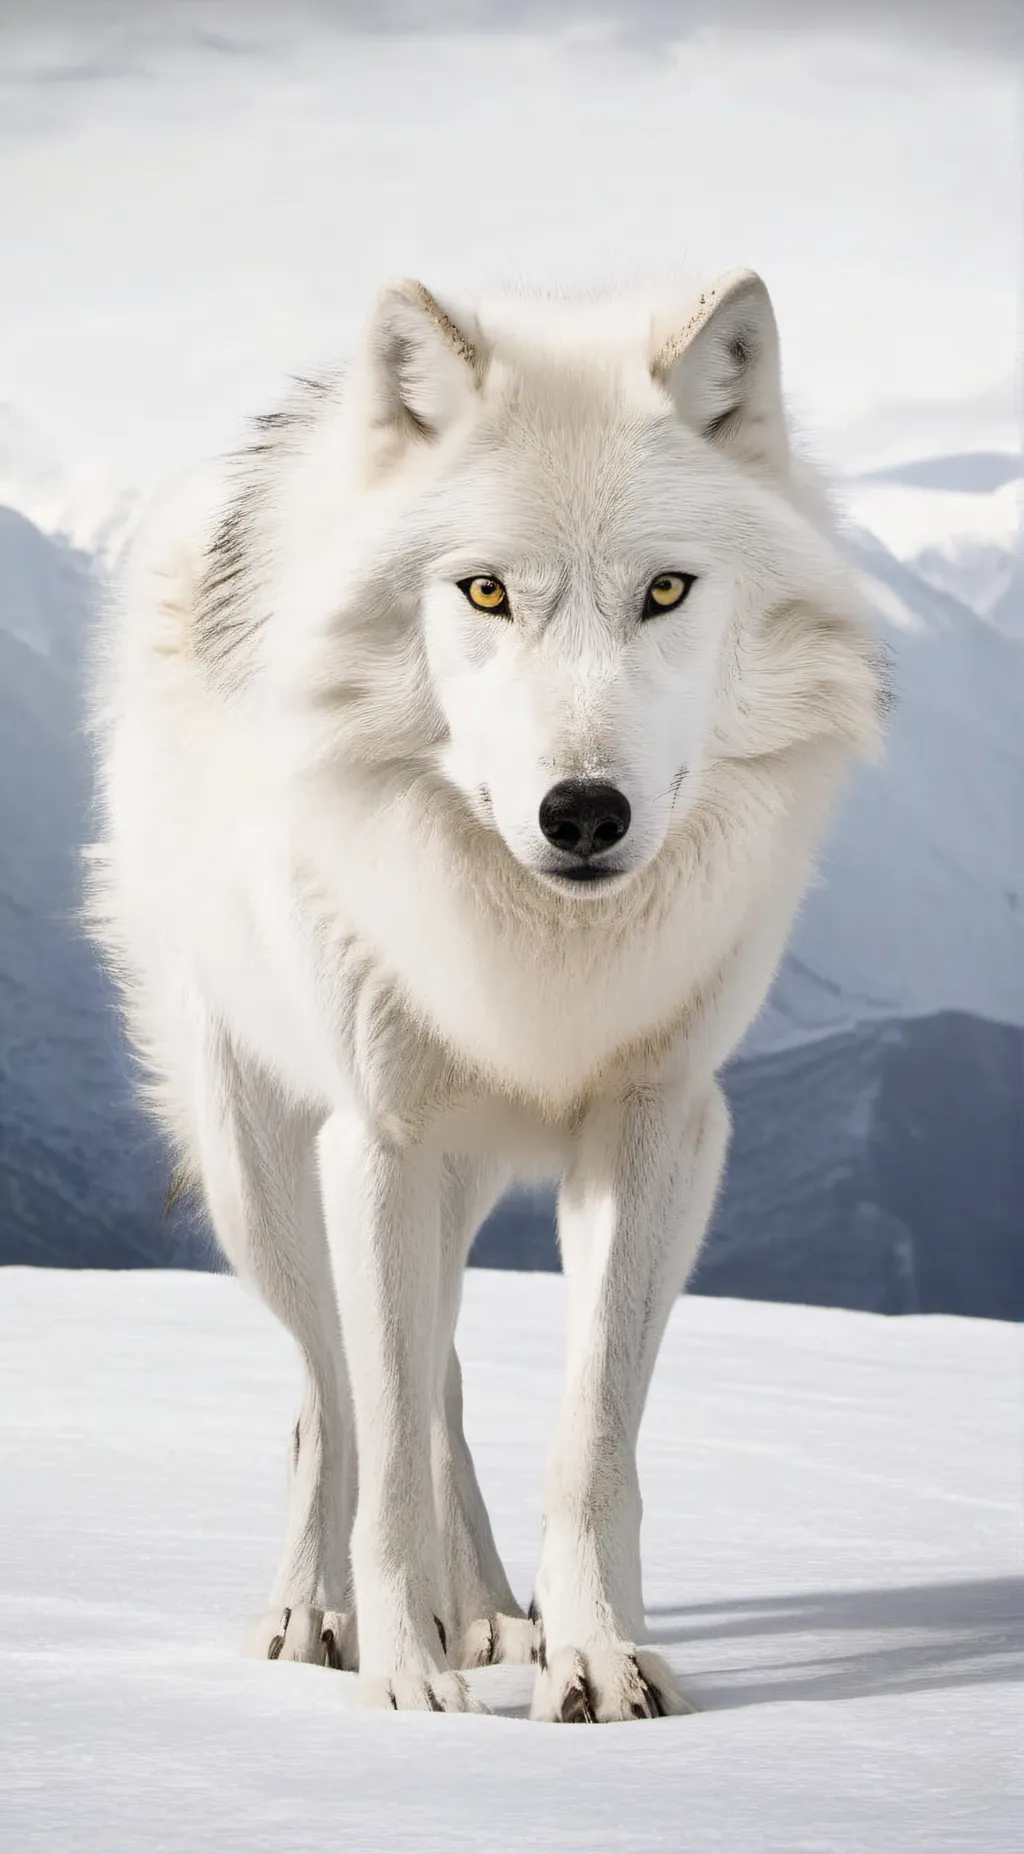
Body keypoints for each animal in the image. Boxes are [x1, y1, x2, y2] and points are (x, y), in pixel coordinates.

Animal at [86, 269, 882, 1723]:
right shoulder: (380, 1141)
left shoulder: (659, 1130)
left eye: (666, 589)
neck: (540, 951)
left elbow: (590, 1436)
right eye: (487, 591)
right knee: (332, 1393)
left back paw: (493, 1616)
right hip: (263, 1169)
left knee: (440, 1371)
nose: (583, 812)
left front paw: (595, 1653)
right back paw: (318, 1613)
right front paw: (405, 1678)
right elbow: (384, 1436)